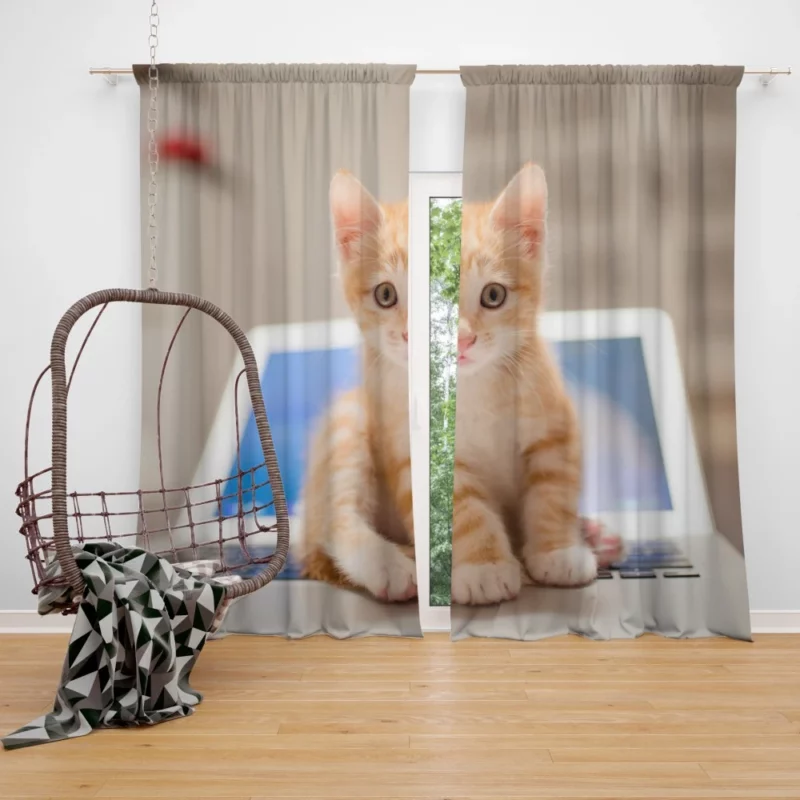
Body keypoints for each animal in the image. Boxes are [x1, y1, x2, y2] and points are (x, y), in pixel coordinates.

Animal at [454, 164, 596, 608]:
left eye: (493, 295)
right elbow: (464, 507)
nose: (462, 340)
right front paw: (483, 568)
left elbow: (552, 492)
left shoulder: (555, 427)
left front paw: (557, 553)